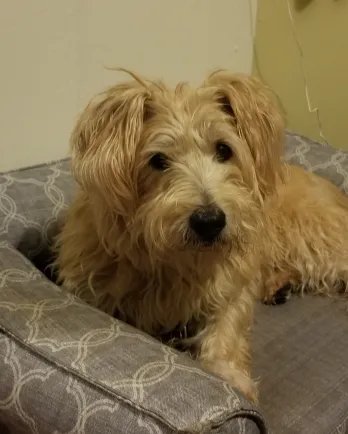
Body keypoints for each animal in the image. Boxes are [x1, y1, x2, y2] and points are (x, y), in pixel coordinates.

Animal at [55, 68, 348, 404]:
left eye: (224, 149)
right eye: (158, 160)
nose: (210, 222)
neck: (175, 260)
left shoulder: (231, 285)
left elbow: (226, 328)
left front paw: (229, 375)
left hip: (315, 238)